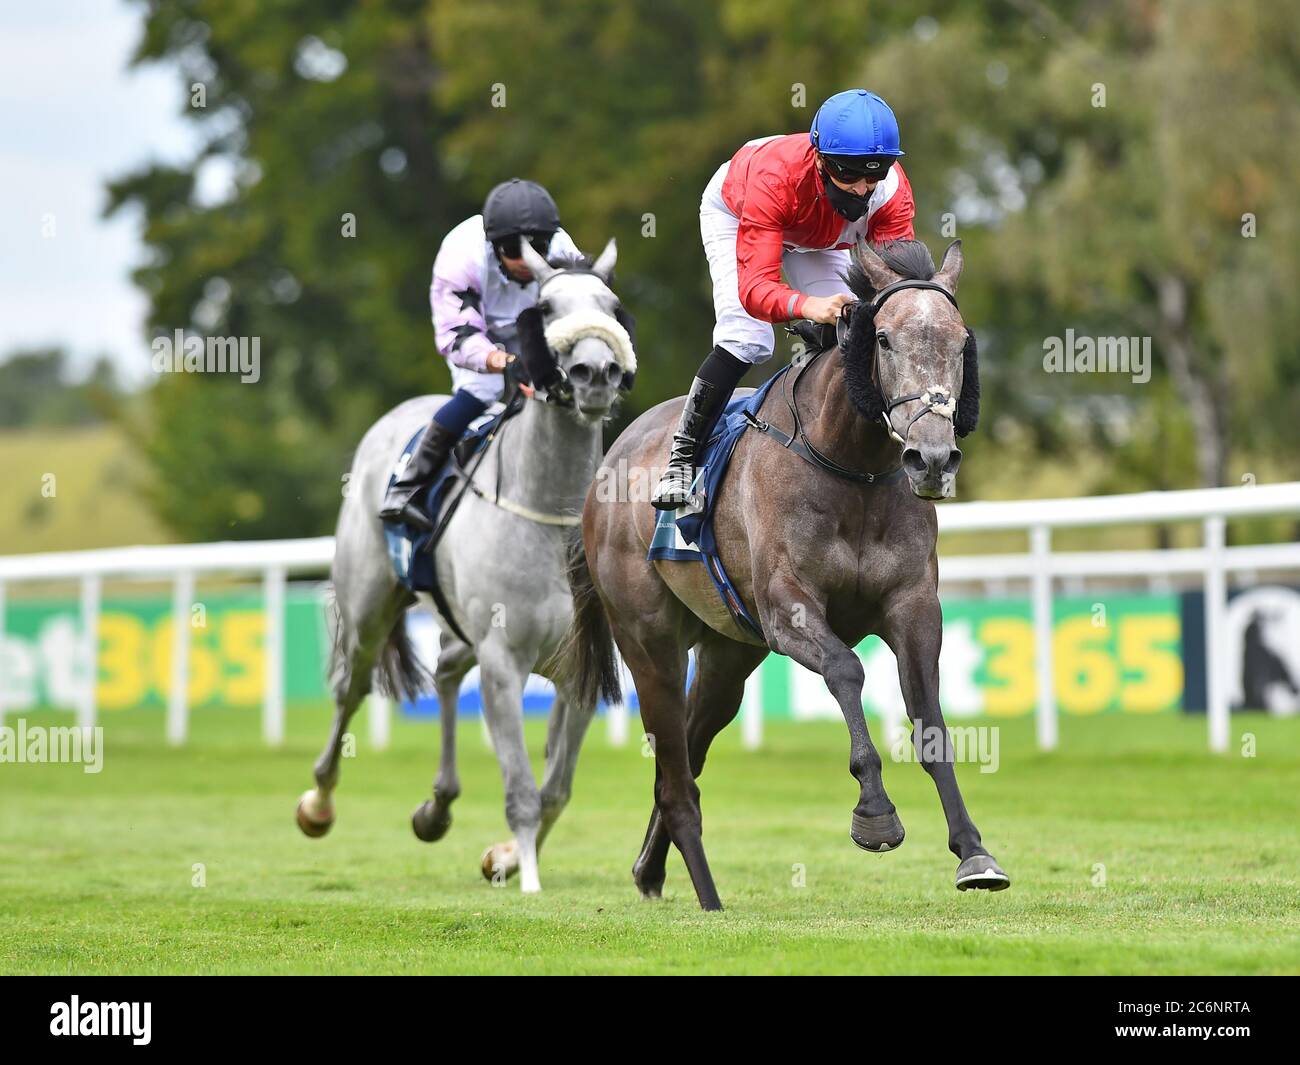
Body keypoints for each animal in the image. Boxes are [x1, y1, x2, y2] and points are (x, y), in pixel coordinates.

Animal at [296, 239, 639, 889]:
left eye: (612, 306)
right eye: (546, 307)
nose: (596, 373)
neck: (547, 519)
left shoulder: (579, 664)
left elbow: (556, 789)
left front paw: (505, 856)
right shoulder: (504, 660)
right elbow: (523, 789)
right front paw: (527, 877)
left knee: (448, 669)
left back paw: (437, 806)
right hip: (368, 608)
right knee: (351, 689)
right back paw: (318, 803)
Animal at [553, 239, 1008, 910]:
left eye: (959, 342)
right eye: (885, 340)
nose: (931, 458)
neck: (851, 465)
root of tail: (610, 461)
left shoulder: (914, 606)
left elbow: (929, 719)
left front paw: (973, 852)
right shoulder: (788, 608)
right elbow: (846, 669)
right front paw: (875, 812)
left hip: (727, 656)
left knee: (687, 754)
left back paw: (649, 869)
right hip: (648, 643)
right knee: (675, 776)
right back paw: (708, 896)